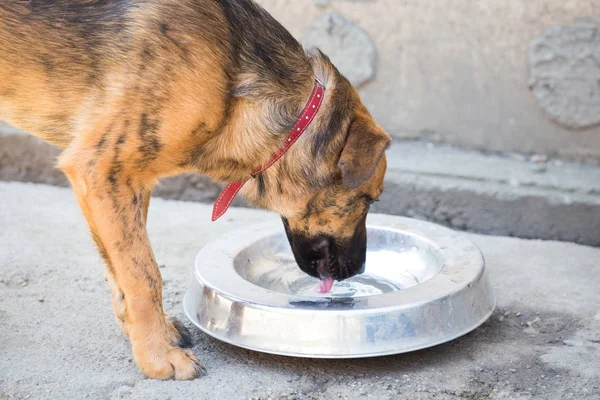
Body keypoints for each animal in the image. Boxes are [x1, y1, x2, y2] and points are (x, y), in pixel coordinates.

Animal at [0, 0, 392, 380]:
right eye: (369, 201)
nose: (359, 269)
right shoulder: (101, 170)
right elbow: (145, 276)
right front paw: (158, 358)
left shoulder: (125, 184)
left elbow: (121, 272)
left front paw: (145, 334)